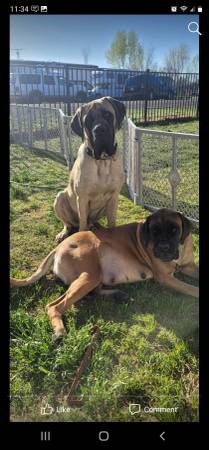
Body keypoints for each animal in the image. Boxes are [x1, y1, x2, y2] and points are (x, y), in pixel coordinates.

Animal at [11, 209, 199, 342]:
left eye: (175, 230)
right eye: (154, 231)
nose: (164, 248)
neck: (179, 250)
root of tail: (58, 247)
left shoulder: (189, 266)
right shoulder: (166, 278)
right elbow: (191, 288)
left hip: (95, 276)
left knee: (95, 291)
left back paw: (119, 294)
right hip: (89, 276)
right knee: (54, 306)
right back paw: (59, 331)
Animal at [54, 95, 125, 243]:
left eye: (107, 115)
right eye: (88, 120)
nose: (99, 130)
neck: (102, 161)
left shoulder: (114, 197)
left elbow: (112, 223)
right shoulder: (82, 199)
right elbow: (82, 226)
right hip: (60, 198)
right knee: (69, 223)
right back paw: (64, 233)